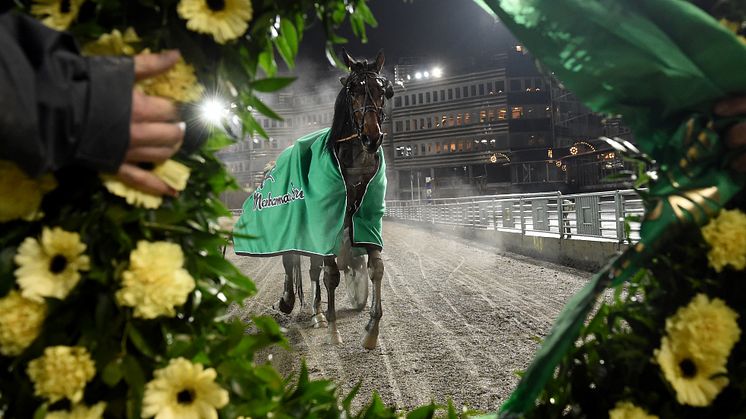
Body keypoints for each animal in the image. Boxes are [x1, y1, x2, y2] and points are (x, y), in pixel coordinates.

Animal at [270, 50, 392, 352]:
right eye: (353, 90)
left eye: (382, 90)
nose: (371, 137)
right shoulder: (325, 220)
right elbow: (331, 275)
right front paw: (334, 330)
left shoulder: (367, 218)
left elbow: (375, 268)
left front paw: (372, 329)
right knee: (291, 260)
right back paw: (290, 301)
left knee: (313, 268)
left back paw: (317, 312)